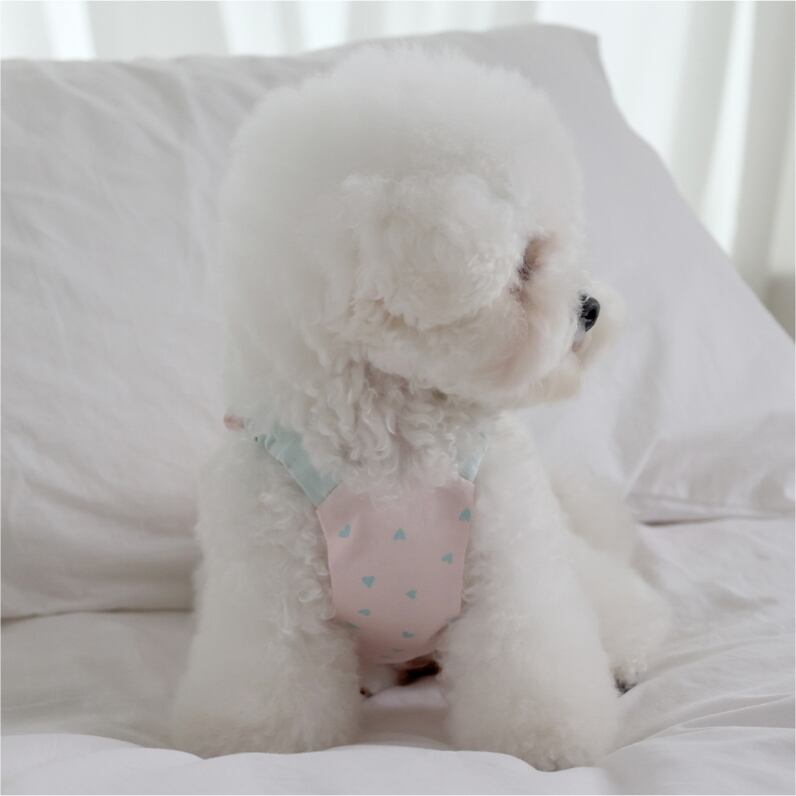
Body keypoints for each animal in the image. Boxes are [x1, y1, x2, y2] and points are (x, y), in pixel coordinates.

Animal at [171, 47, 670, 771]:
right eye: (524, 264)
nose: (592, 308)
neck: (395, 436)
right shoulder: (270, 590)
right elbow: (274, 676)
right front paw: (253, 745)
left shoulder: (511, 569)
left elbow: (532, 661)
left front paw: (548, 743)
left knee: (612, 597)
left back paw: (632, 651)